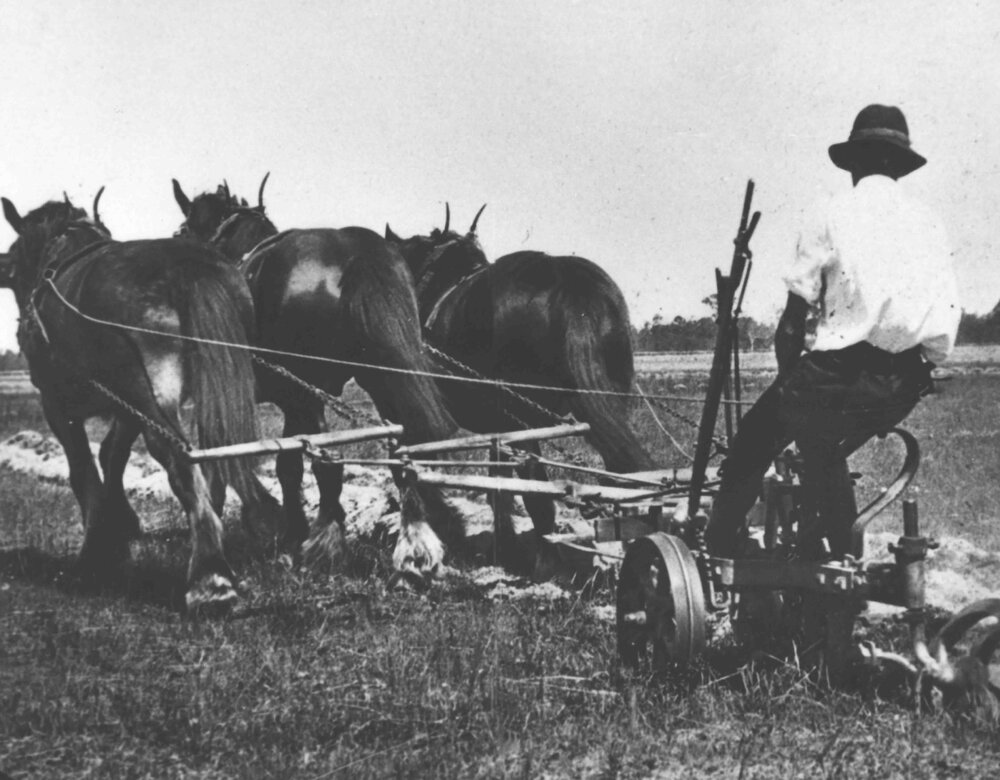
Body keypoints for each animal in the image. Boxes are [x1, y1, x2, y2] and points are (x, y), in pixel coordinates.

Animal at [0, 193, 275, 612]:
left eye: (14, 270)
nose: (21, 326)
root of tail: (187, 268)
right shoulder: (128, 406)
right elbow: (112, 456)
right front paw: (120, 530)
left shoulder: (57, 404)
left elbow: (83, 472)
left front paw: (95, 552)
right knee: (219, 450)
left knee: (180, 459)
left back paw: (210, 578)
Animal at [174, 183, 463, 580]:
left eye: (183, 231)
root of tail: (352, 251)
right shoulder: (293, 403)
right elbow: (288, 466)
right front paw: (289, 536)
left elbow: (223, 464)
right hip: (381, 381)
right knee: (401, 452)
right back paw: (415, 541)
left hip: (311, 393)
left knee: (330, 461)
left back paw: (327, 544)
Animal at [385, 206, 656, 553]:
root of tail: (565, 280)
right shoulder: (497, 429)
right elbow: (497, 486)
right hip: (607, 404)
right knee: (618, 476)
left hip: (523, 418)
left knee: (538, 490)